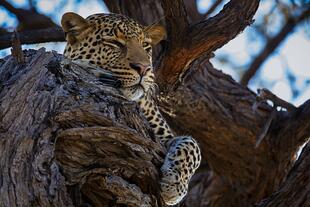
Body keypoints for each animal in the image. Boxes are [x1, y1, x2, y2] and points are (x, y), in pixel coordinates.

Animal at [60, 12, 201, 205]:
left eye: (146, 46)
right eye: (114, 43)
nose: (144, 68)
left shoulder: (164, 136)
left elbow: (192, 146)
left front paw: (174, 185)